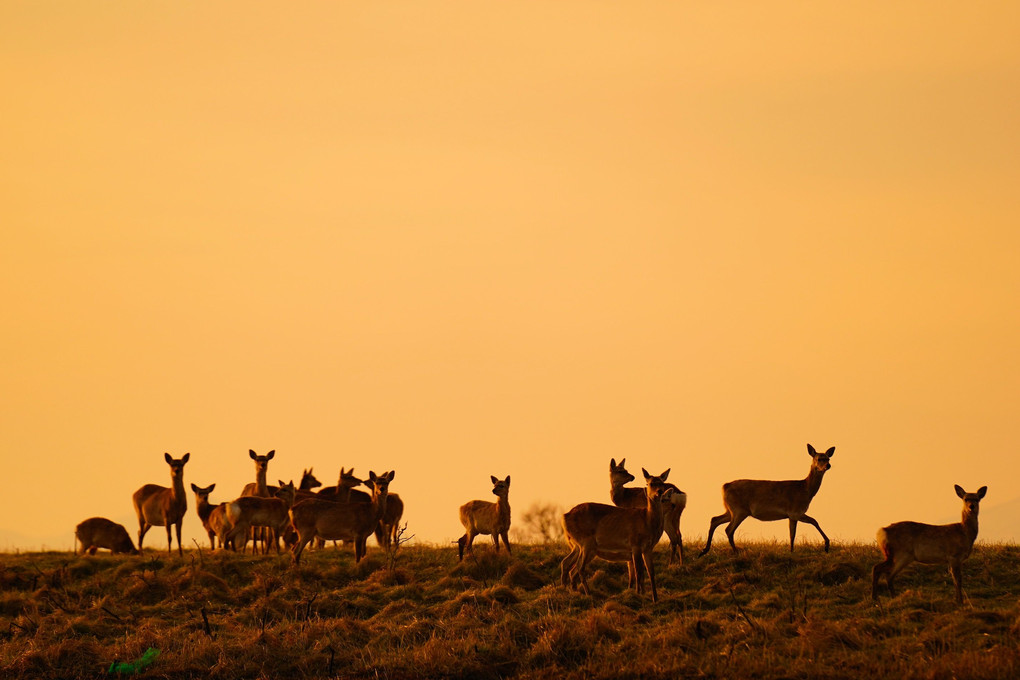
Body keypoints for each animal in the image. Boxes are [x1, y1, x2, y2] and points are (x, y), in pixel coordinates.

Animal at [558, 468, 669, 599]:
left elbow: (650, 572)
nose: (660, 492)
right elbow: (638, 572)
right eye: (650, 483)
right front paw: (638, 594)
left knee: (567, 564)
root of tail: (564, 517)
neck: (647, 521)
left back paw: (570, 591)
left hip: (578, 545)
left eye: (662, 483)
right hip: (586, 542)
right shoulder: (635, 544)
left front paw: (654, 598)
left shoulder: (648, 548)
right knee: (579, 567)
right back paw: (588, 593)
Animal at [701, 444, 836, 554]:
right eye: (819, 459)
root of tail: (725, 486)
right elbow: (809, 524)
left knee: (715, 519)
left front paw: (792, 551)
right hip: (739, 510)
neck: (805, 490)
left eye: (828, 458)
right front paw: (825, 546)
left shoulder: (793, 514)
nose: (828, 465)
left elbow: (796, 532)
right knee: (728, 529)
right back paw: (735, 552)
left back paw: (705, 550)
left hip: (731, 510)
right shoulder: (795, 511)